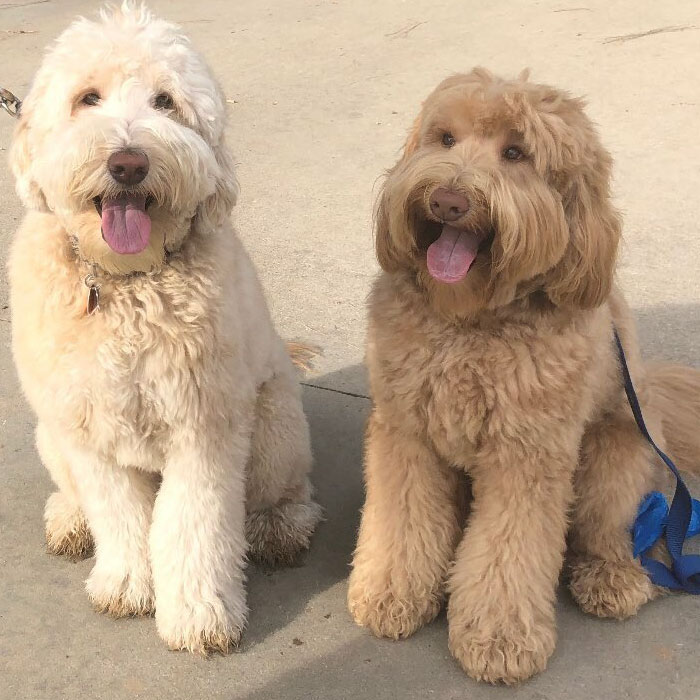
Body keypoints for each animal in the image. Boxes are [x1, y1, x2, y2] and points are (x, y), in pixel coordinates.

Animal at [7, 3, 321, 653]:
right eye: (87, 98)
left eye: (165, 102)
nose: (128, 162)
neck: (126, 284)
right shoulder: (87, 426)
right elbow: (117, 511)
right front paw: (127, 583)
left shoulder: (204, 425)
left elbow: (193, 524)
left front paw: (199, 613)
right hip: (51, 436)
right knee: (77, 494)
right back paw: (70, 519)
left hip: (274, 425)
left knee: (286, 493)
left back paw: (279, 526)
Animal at [347, 68, 700, 684]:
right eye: (445, 139)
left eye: (516, 153)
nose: (447, 199)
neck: (470, 322)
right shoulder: (405, 434)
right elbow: (401, 520)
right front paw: (391, 592)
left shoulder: (527, 456)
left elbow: (508, 553)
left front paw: (499, 636)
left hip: (612, 462)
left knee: (627, 536)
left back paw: (614, 577)